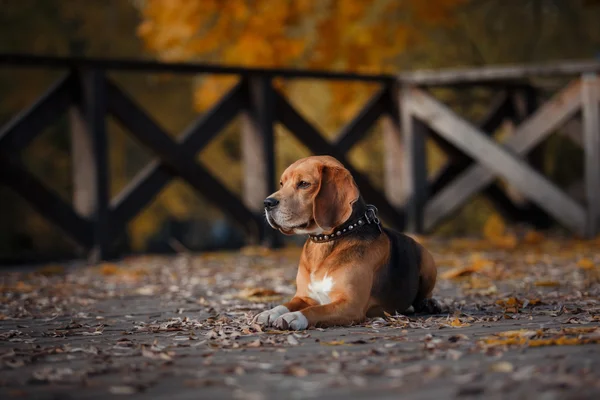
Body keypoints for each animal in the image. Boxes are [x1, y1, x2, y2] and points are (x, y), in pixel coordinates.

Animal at [253, 155, 440, 330]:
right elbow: (285, 305)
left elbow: (315, 310)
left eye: (304, 184)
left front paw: (295, 317)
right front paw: (269, 312)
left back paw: (430, 304)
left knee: (424, 296)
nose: (267, 202)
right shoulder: (304, 297)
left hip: (428, 261)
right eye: (281, 183)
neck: (325, 242)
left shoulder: (350, 305)